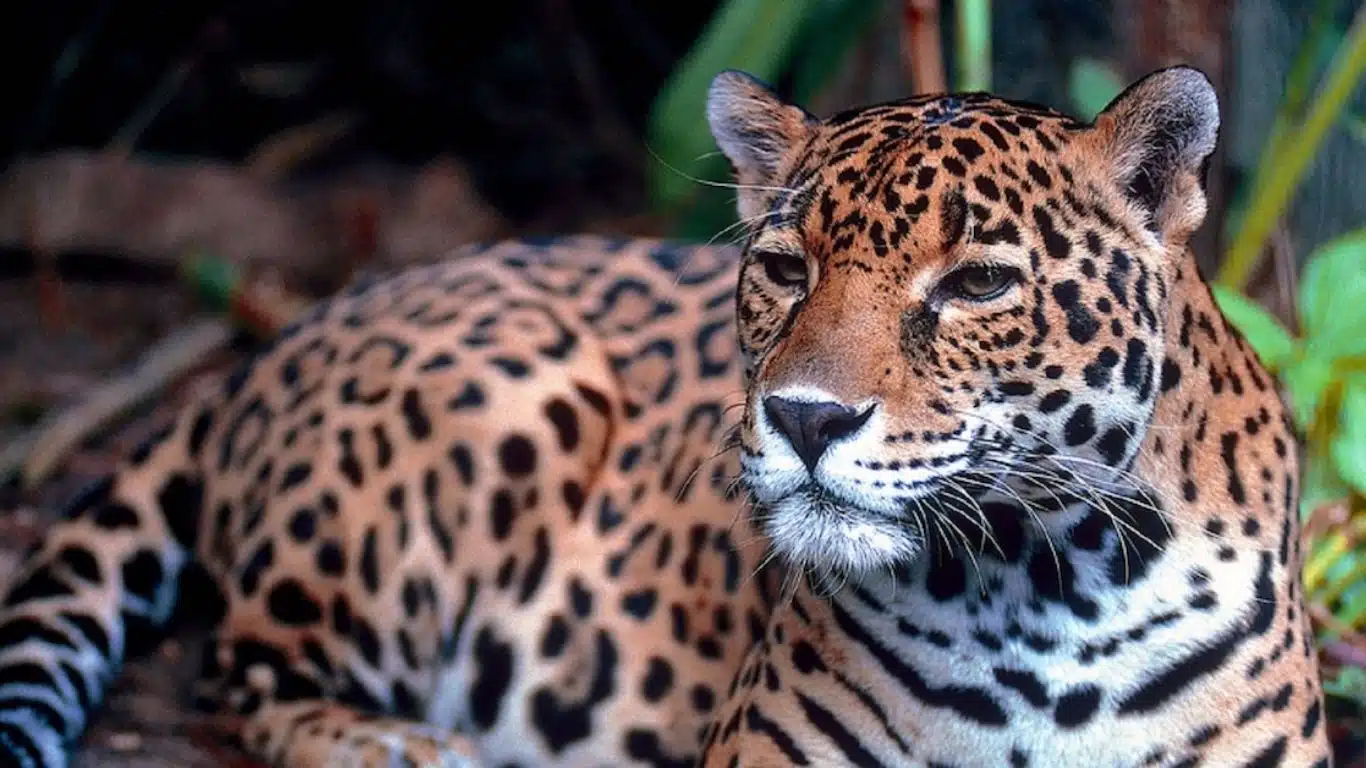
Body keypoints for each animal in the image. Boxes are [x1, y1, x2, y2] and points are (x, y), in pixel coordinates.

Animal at [0, 64, 1331, 768]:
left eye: (977, 286)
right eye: (786, 268)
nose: (802, 418)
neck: (1039, 590)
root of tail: (280, 339)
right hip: (509, 395)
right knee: (238, 666)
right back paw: (405, 746)